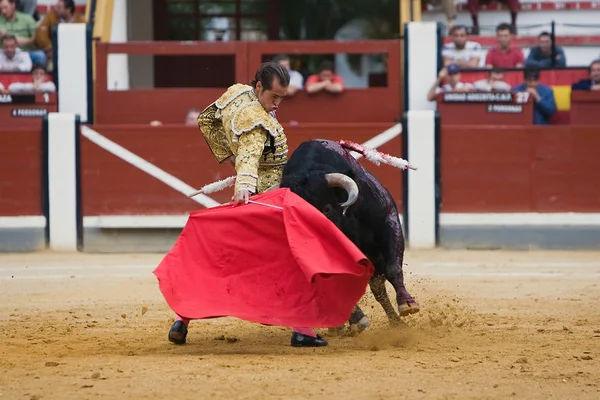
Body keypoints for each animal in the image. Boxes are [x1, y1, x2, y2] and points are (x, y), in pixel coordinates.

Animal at [276, 139, 420, 330]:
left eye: (327, 209)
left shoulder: (388, 221)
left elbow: (393, 268)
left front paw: (408, 304)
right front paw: (356, 319)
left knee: (377, 288)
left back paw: (396, 323)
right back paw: (347, 324)